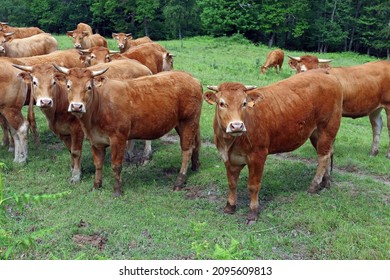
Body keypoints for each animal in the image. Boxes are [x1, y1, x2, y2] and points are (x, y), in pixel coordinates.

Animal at [53, 66, 203, 196]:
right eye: (68, 86)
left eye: (89, 87)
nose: (76, 106)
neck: (99, 107)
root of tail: (192, 78)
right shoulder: (94, 141)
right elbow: (98, 164)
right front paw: (96, 186)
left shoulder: (118, 138)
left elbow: (116, 165)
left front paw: (117, 191)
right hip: (188, 123)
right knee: (195, 144)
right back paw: (195, 166)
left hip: (188, 121)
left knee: (186, 150)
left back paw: (179, 182)